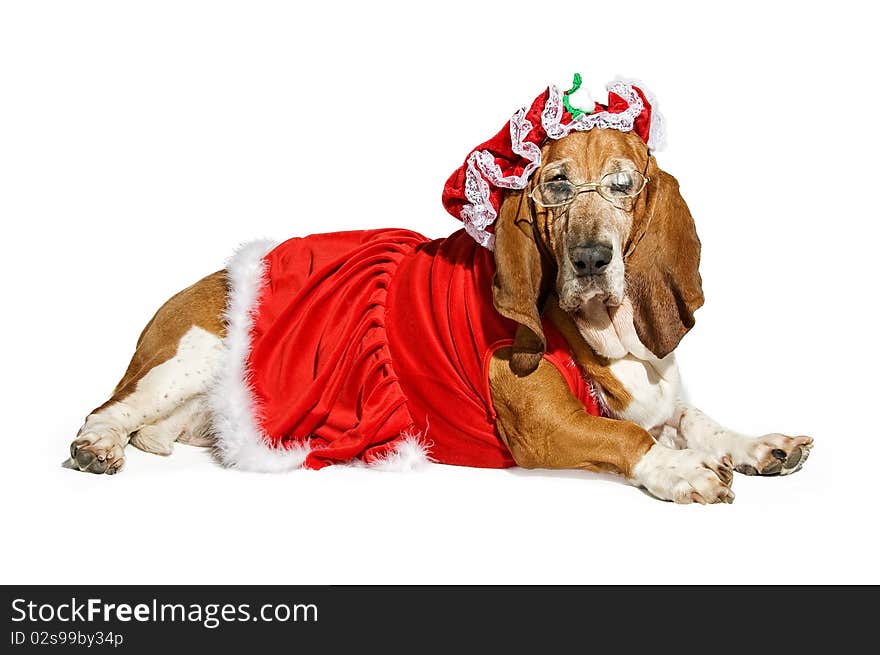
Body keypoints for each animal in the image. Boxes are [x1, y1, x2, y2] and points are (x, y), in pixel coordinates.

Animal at [67, 79, 812, 504]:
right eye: (556, 185)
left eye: (623, 184)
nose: (591, 258)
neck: (611, 340)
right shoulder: (547, 430)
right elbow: (629, 436)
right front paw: (684, 471)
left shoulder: (662, 397)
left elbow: (695, 418)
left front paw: (756, 445)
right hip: (188, 357)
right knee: (107, 408)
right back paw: (96, 448)